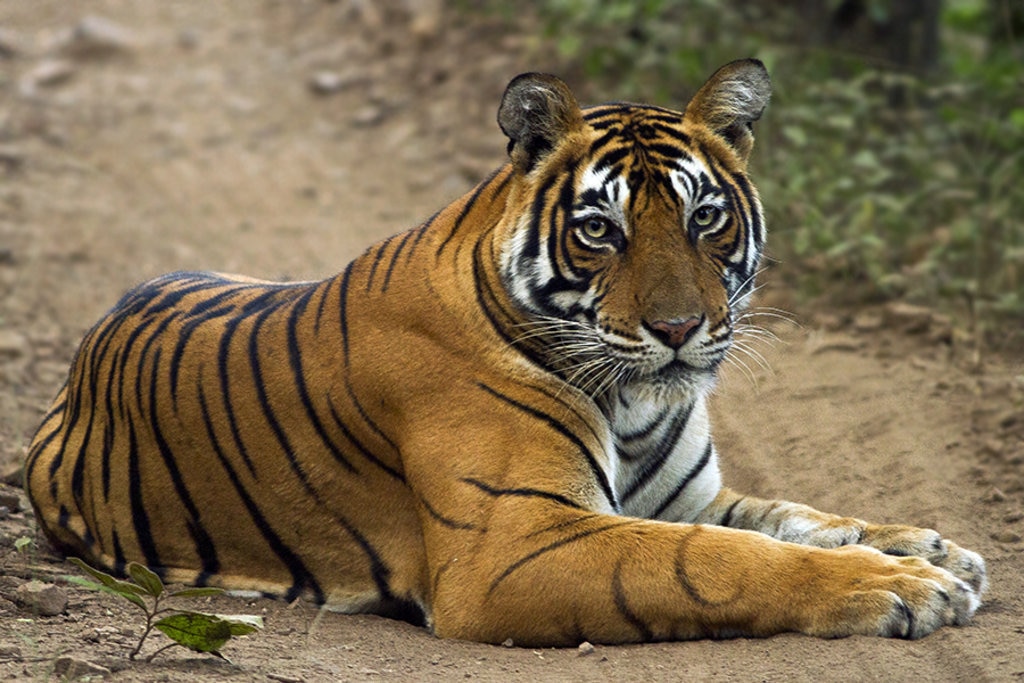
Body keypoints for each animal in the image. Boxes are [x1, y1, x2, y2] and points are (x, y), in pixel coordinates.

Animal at [24, 60, 983, 647]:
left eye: (705, 217)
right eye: (601, 230)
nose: (679, 328)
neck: (636, 405)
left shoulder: (688, 497)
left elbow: (793, 514)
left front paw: (933, 548)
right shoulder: (514, 545)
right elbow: (717, 559)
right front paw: (903, 585)